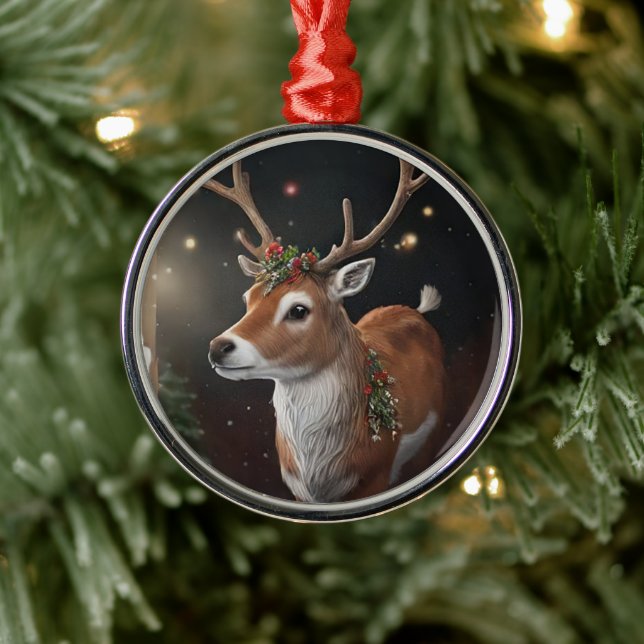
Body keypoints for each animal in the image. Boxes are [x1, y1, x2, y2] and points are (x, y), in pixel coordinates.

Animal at [205, 159, 445, 503]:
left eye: (299, 309)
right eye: (247, 299)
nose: (218, 347)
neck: (320, 472)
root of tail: (415, 310)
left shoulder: (376, 475)